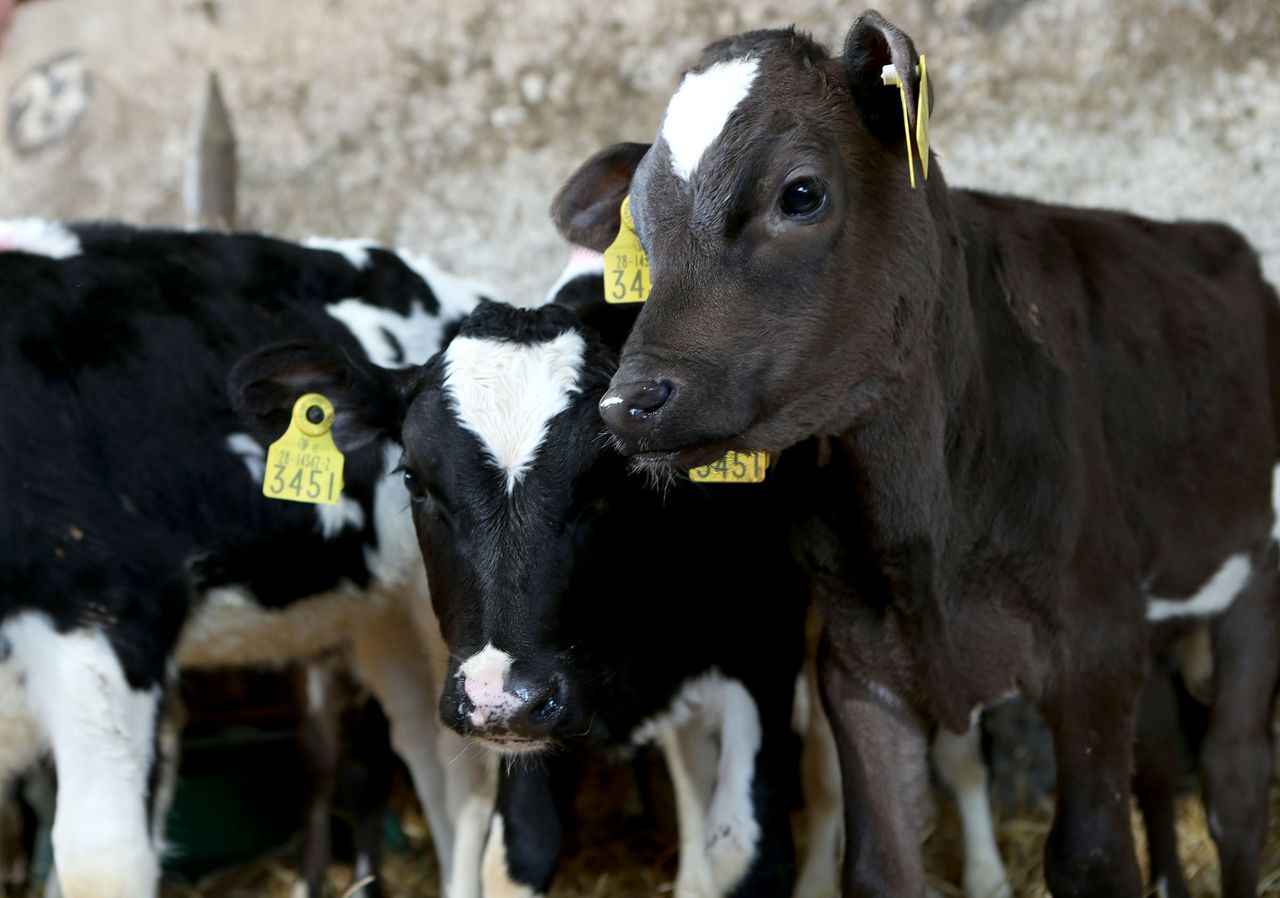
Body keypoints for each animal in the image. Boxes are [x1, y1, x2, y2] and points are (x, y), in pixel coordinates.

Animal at [549, 10, 1280, 898]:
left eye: (801, 193)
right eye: (642, 229)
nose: (628, 402)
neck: (926, 527)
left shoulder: (1096, 641)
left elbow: (1094, 858)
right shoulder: (859, 667)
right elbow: (879, 863)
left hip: (1260, 574)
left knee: (1235, 778)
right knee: (1166, 759)